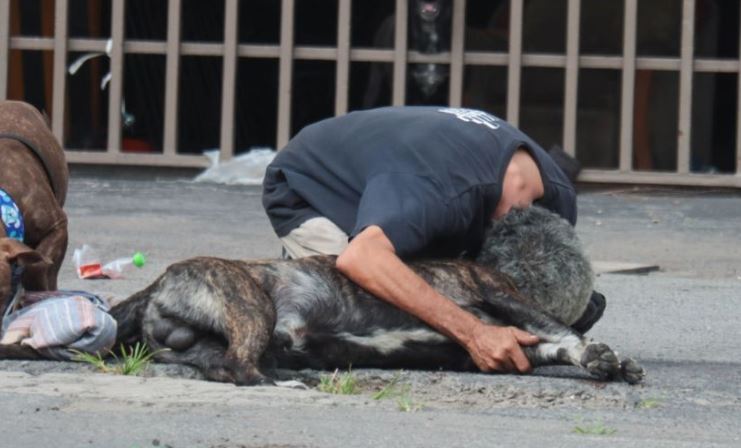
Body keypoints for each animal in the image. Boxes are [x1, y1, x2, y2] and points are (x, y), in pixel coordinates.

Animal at [110, 206, 640, 384]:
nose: (603, 298)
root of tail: (156, 284)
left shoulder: (499, 349)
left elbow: (548, 345)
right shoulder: (499, 294)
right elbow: (563, 332)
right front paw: (597, 353)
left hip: (204, 343)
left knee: (223, 366)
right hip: (249, 305)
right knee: (240, 368)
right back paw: (287, 382)